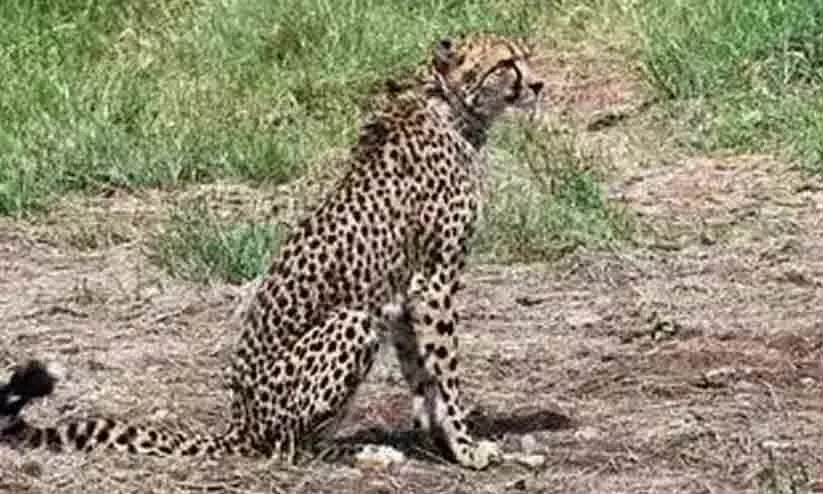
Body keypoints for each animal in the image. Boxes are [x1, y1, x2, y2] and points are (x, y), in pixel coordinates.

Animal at [0, 32, 544, 470]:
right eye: (506, 63)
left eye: (525, 55)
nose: (539, 84)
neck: (448, 108)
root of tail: (239, 422)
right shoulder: (434, 281)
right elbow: (446, 374)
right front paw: (467, 448)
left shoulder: (406, 293)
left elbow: (422, 376)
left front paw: (440, 443)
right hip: (351, 321)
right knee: (289, 447)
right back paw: (368, 452)